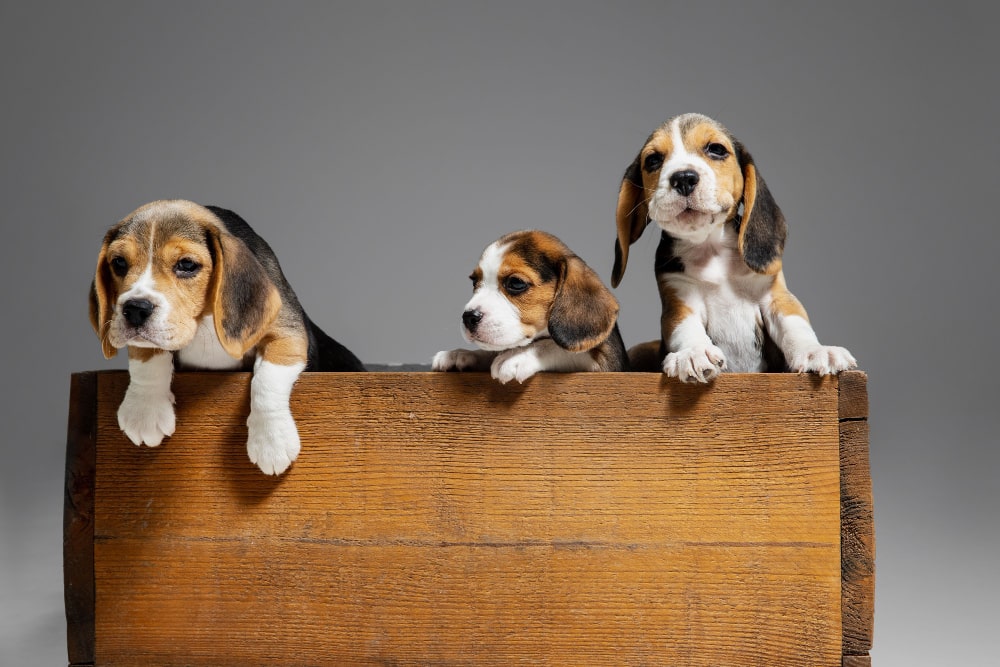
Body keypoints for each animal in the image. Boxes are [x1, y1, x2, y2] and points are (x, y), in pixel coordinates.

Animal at [90, 198, 364, 474]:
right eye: (119, 263)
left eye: (187, 265)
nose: (135, 309)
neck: (203, 322)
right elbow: (146, 355)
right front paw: (144, 410)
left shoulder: (287, 331)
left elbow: (268, 379)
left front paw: (271, 442)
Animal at [434, 231, 628, 384]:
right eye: (474, 282)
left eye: (516, 283)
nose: (468, 317)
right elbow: (493, 351)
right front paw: (460, 354)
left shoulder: (605, 363)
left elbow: (553, 346)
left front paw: (517, 355)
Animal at [612, 114, 856, 384]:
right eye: (653, 160)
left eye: (716, 149)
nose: (683, 177)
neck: (711, 248)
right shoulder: (680, 299)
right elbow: (685, 328)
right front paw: (694, 352)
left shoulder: (776, 296)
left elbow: (795, 324)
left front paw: (816, 351)